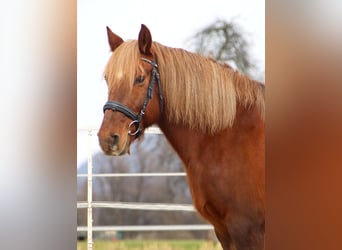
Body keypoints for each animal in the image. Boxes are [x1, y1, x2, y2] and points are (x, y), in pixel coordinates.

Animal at [97, 23, 266, 250]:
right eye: (108, 79)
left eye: (139, 78)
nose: (108, 138)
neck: (232, 136)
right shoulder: (224, 232)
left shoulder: (247, 230)